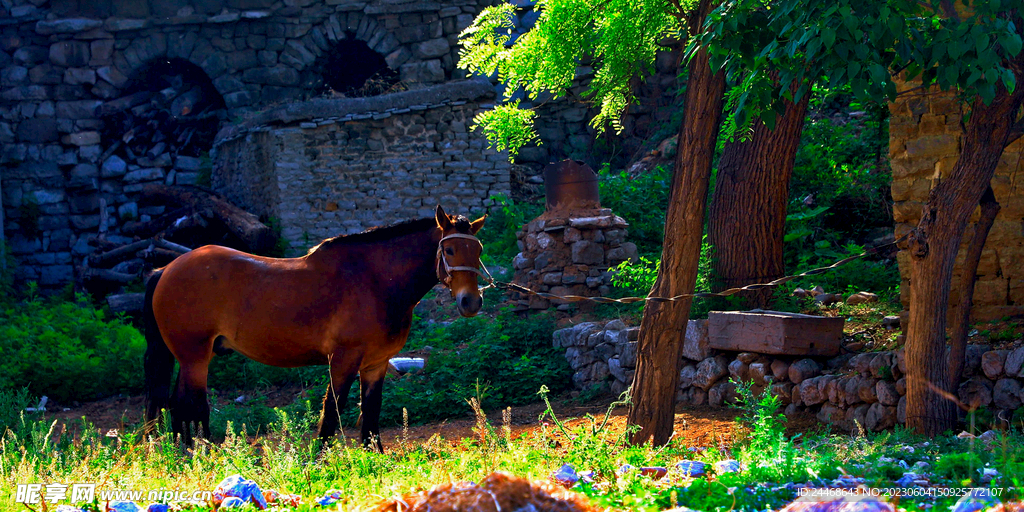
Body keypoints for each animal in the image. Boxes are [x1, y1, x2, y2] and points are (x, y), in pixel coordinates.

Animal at [143, 205, 487, 449]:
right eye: (449, 250)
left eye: (478, 250)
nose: (471, 301)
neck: (373, 280)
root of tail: (166, 269)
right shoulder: (344, 359)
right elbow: (333, 409)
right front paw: (319, 458)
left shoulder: (376, 363)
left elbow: (371, 411)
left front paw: (375, 457)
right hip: (196, 358)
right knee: (193, 404)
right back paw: (204, 455)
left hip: (188, 358)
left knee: (176, 405)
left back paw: (185, 453)